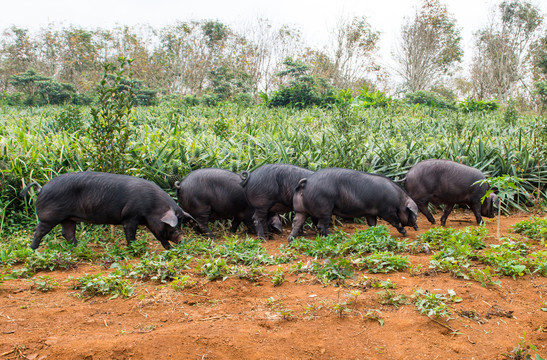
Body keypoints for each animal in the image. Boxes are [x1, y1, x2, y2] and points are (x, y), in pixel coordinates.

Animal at [20, 172, 193, 250]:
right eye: (174, 225)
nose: (182, 239)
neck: (152, 207)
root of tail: (41, 189)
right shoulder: (130, 216)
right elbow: (131, 234)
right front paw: (132, 248)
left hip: (68, 218)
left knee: (67, 233)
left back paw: (79, 247)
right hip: (49, 217)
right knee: (38, 231)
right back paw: (33, 249)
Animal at [286, 168, 420, 242]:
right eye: (415, 215)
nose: (418, 228)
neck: (399, 201)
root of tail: (306, 182)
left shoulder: (370, 213)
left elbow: (372, 224)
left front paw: (374, 233)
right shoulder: (387, 211)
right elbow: (395, 221)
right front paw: (404, 232)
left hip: (300, 210)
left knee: (296, 222)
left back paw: (290, 240)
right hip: (325, 208)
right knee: (320, 225)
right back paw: (333, 237)